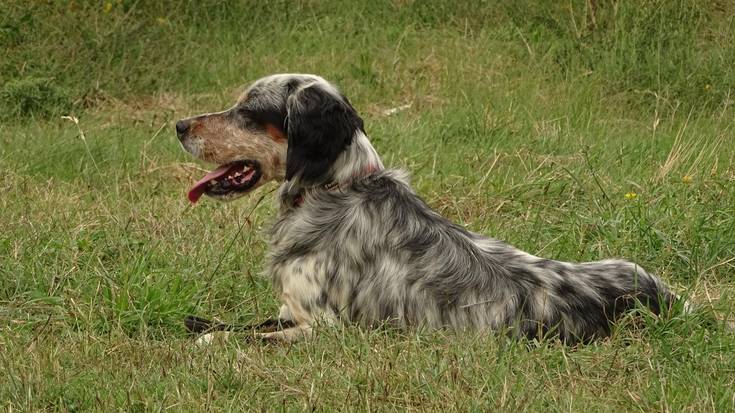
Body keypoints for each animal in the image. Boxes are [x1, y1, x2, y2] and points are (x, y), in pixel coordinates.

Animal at [175, 74, 688, 344]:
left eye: (248, 112)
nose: (178, 125)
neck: (335, 188)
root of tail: (669, 297)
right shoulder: (293, 311)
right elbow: (244, 322)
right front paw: (200, 321)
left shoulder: (324, 326)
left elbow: (240, 336)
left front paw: (208, 337)